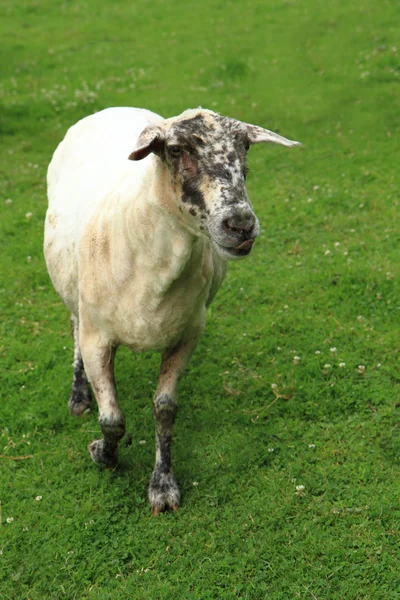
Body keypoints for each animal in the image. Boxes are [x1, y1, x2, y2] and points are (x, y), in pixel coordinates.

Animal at [44, 105, 300, 512]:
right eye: (176, 150)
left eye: (245, 147)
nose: (241, 224)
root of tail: (114, 107)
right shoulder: (97, 337)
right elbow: (111, 419)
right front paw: (103, 454)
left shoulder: (187, 334)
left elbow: (164, 409)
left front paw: (163, 485)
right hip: (74, 296)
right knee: (73, 330)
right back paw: (79, 396)